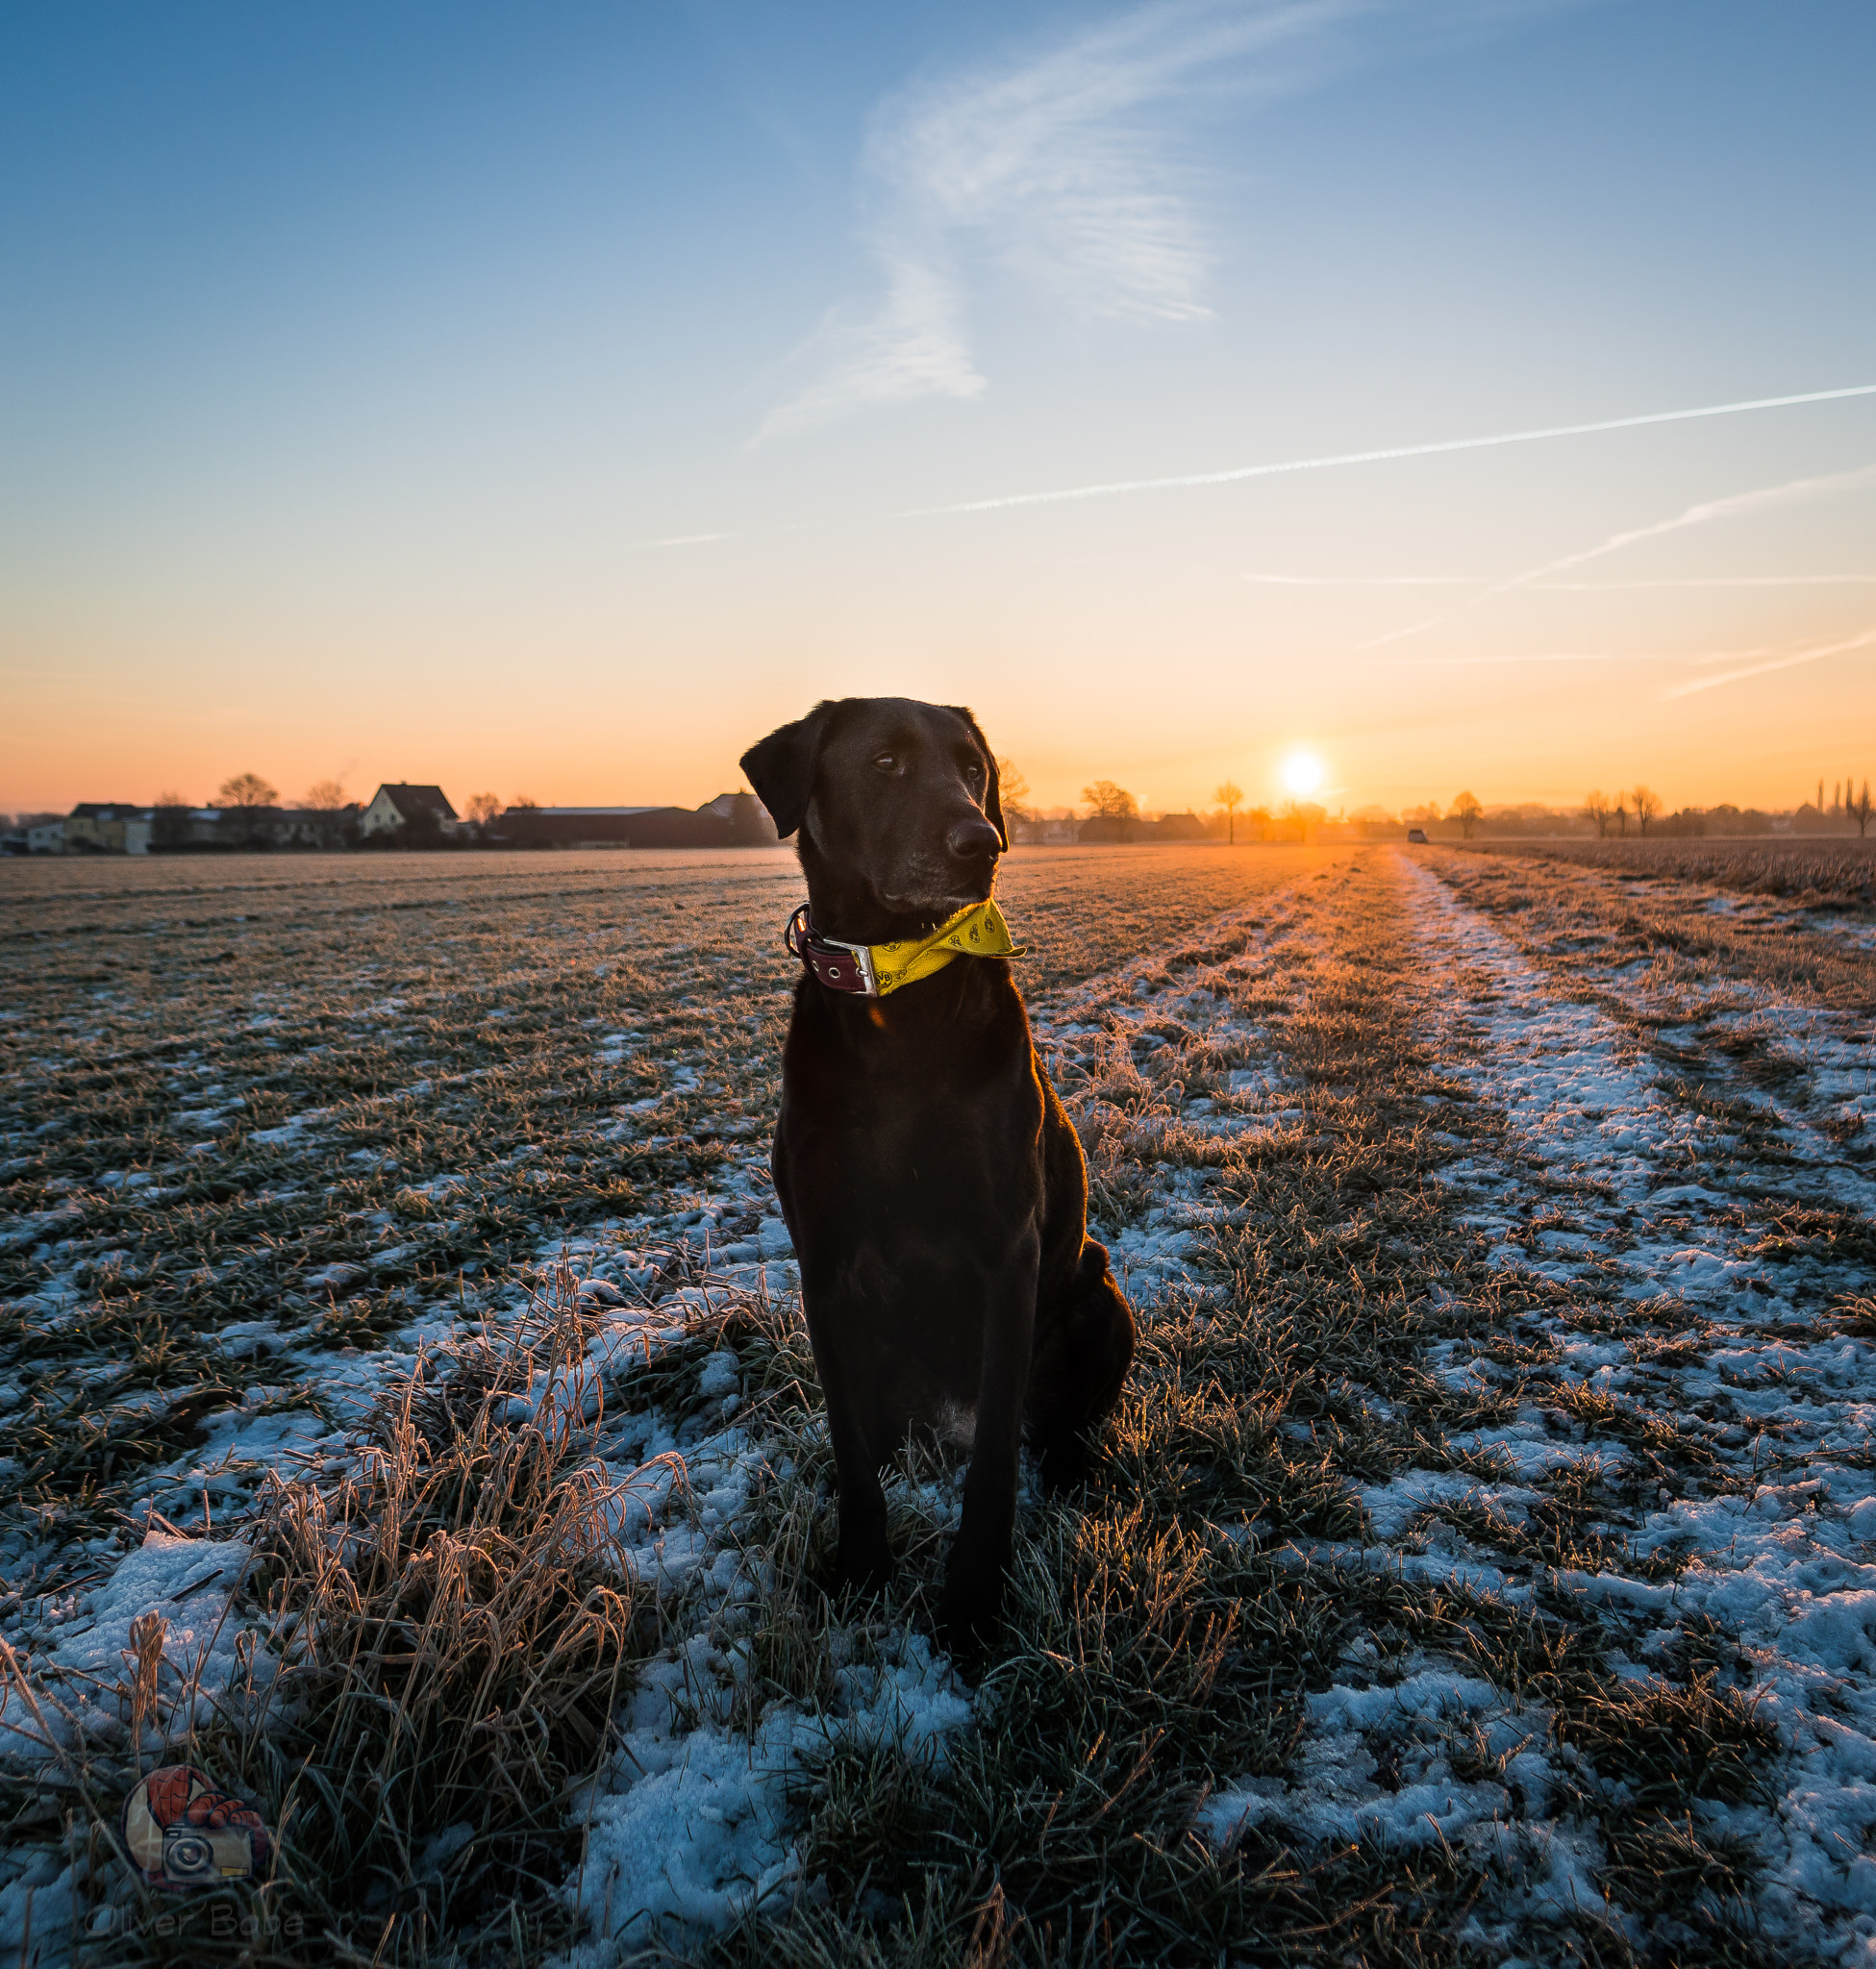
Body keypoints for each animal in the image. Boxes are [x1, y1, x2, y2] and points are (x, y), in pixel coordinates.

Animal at [739, 692, 1134, 1646]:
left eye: (973, 768)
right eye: (883, 761)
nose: (979, 842)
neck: (896, 997)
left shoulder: (1007, 1251)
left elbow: (993, 1463)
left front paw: (972, 1605)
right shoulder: (823, 1265)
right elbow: (849, 1452)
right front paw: (859, 1573)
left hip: (1097, 1293)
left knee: (1050, 1429)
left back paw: (1074, 1475)